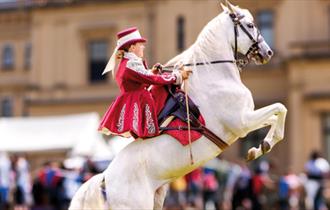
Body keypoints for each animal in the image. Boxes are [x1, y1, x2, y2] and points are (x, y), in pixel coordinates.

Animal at [69, 2, 286, 210]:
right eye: (250, 25)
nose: (268, 52)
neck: (215, 76)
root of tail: (105, 178)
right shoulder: (243, 122)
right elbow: (280, 108)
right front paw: (263, 146)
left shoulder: (247, 120)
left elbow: (275, 115)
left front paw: (258, 148)